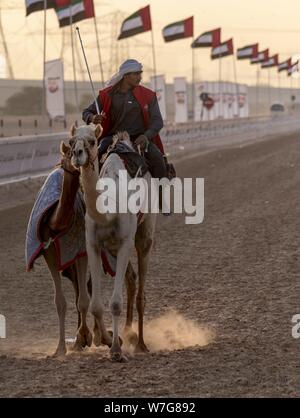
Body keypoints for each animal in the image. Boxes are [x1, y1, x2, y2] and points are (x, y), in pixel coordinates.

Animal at [69, 122, 156, 360]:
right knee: (131, 278)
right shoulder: (93, 245)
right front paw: (108, 340)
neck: (108, 209)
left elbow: (116, 303)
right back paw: (128, 332)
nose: (76, 154)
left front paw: (117, 351)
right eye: (71, 141)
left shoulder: (126, 241)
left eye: (92, 141)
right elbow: (96, 305)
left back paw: (141, 343)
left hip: (144, 233)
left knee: (141, 289)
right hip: (114, 249)